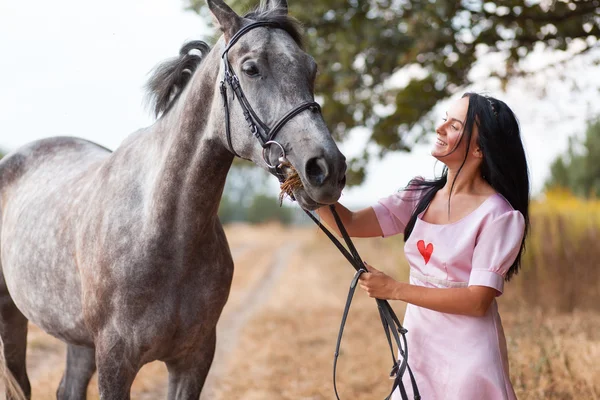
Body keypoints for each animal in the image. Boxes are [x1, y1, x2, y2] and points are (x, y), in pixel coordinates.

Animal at [0, 0, 346, 398]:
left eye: (311, 68)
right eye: (251, 68)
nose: (327, 168)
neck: (164, 231)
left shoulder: (192, 361)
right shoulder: (115, 364)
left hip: (79, 339)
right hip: (12, 319)